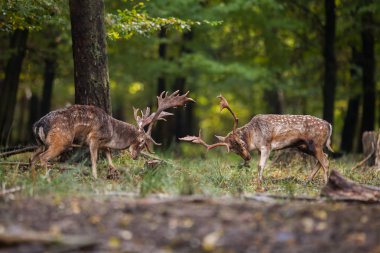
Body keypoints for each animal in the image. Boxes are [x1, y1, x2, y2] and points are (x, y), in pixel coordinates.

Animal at [31, 91, 194, 178]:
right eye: (142, 142)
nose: (135, 157)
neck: (112, 132)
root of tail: (38, 124)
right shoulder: (94, 138)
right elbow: (94, 158)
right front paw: (95, 177)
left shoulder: (104, 144)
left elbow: (109, 156)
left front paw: (113, 172)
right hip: (61, 140)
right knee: (43, 158)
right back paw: (47, 177)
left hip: (39, 143)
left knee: (32, 158)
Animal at [181, 94, 332, 182]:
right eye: (234, 151)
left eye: (242, 144)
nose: (247, 157)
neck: (253, 137)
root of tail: (329, 125)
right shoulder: (260, 149)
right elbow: (260, 166)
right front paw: (259, 181)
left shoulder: (267, 145)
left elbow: (260, 165)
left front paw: (259, 183)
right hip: (304, 146)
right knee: (324, 158)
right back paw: (307, 180)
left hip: (316, 143)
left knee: (325, 161)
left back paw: (325, 184)